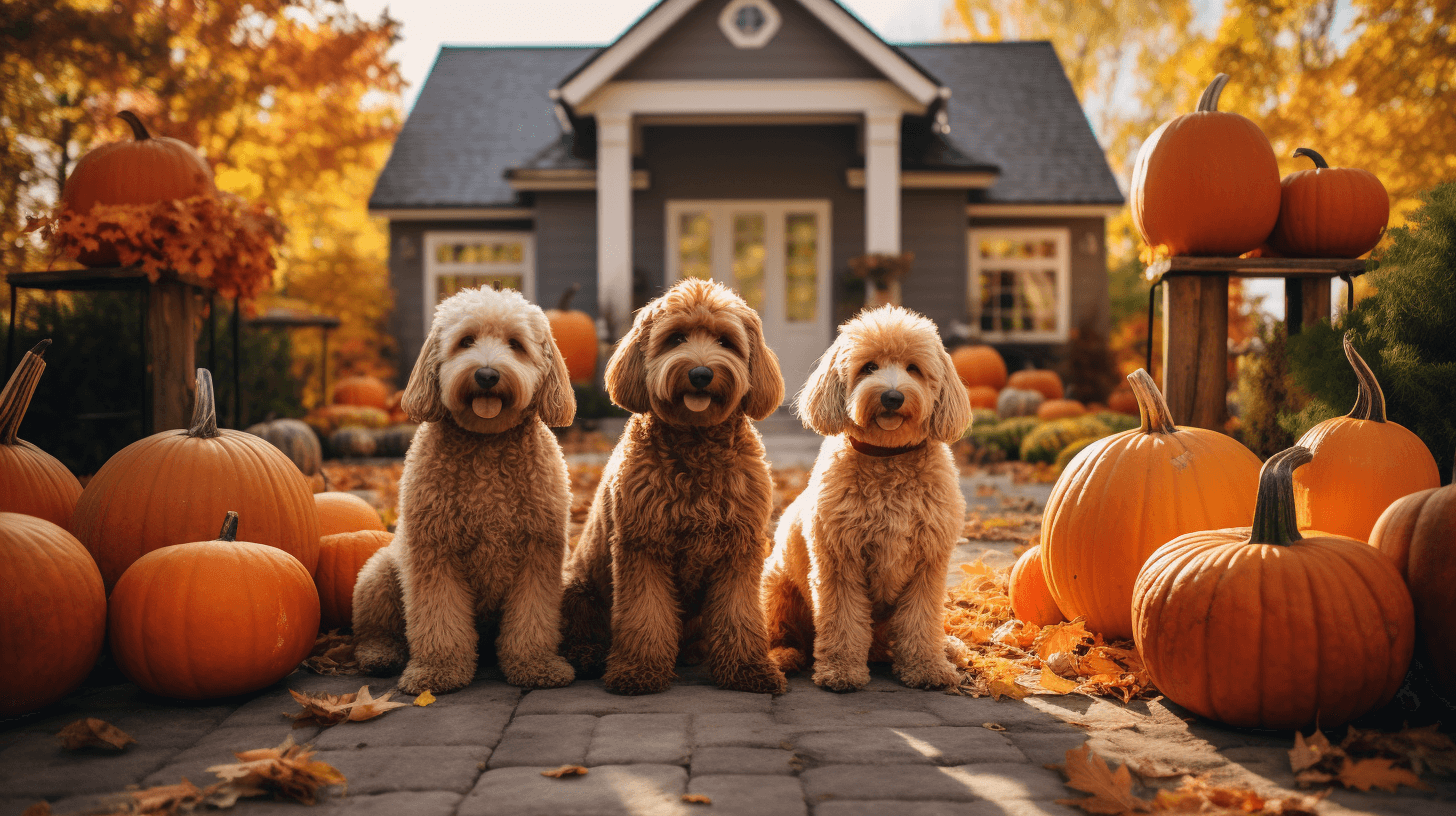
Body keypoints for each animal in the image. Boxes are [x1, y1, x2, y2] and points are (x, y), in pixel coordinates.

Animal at [353, 287, 579, 693]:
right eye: (466, 341)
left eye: (515, 344)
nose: (486, 374)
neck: (486, 444)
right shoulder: (434, 552)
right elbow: (438, 618)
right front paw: (437, 671)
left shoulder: (539, 553)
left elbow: (533, 619)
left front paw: (536, 665)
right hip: (378, 574)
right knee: (376, 630)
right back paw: (379, 654)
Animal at [559, 278, 792, 693]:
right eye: (676, 338)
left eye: (725, 341)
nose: (700, 373)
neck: (696, 442)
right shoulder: (643, 544)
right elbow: (645, 614)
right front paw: (638, 671)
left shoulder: (739, 548)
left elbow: (739, 613)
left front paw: (748, 670)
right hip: (579, 589)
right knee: (583, 630)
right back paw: (587, 655)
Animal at [757, 304, 972, 687]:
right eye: (868, 367)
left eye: (913, 369)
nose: (892, 396)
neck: (888, 457)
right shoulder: (839, 561)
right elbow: (843, 620)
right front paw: (841, 670)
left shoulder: (928, 566)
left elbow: (920, 621)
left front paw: (927, 667)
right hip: (776, 590)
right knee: (782, 635)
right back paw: (785, 657)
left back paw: (947, 649)